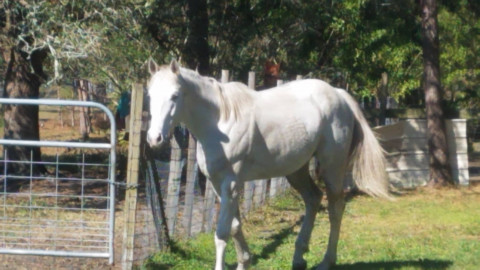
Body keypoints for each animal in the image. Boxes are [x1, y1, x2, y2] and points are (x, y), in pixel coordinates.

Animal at [145, 60, 390, 270]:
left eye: (175, 95)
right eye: (150, 95)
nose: (154, 138)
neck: (220, 121)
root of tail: (338, 95)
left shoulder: (230, 184)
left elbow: (222, 233)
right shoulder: (217, 185)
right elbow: (235, 226)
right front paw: (244, 261)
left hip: (333, 168)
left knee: (335, 209)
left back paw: (326, 261)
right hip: (296, 170)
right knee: (313, 199)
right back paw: (299, 257)